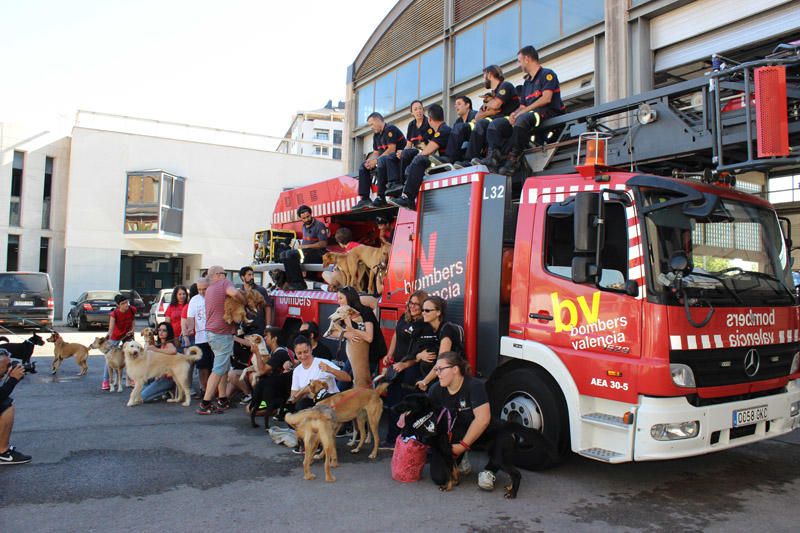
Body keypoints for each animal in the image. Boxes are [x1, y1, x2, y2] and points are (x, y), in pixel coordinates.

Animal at [396, 392, 560, 496]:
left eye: (406, 401)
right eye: (402, 399)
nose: (391, 408)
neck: (428, 417)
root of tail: (506, 425)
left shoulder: (446, 452)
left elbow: (449, 473)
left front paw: (448, 487)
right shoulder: (451, 454)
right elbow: (454, 471)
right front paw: (456, 482)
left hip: (498, 457)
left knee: (517, 474)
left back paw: (513, 494)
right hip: (502, 456)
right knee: (513, 473)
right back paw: (510, 487)